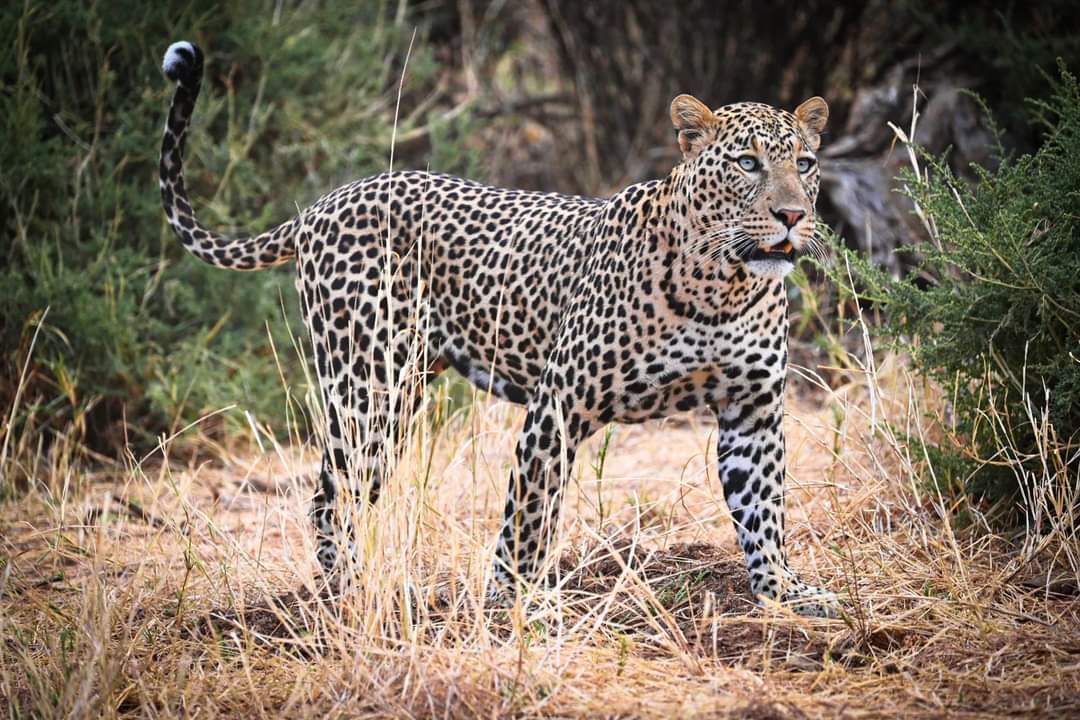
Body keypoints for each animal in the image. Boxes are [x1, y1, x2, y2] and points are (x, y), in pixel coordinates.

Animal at [159, 40, 838, 617]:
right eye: (747, 164)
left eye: (805, 163)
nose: (791, 215)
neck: (724, 285)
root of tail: (322, 205)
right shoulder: (559, 404)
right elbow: (530, 515)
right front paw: (517, 603)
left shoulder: (752, 412)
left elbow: (763, 509)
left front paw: (783, 590)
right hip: (369, 385)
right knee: (332, 494)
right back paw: (354, 593)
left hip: (402, 385)